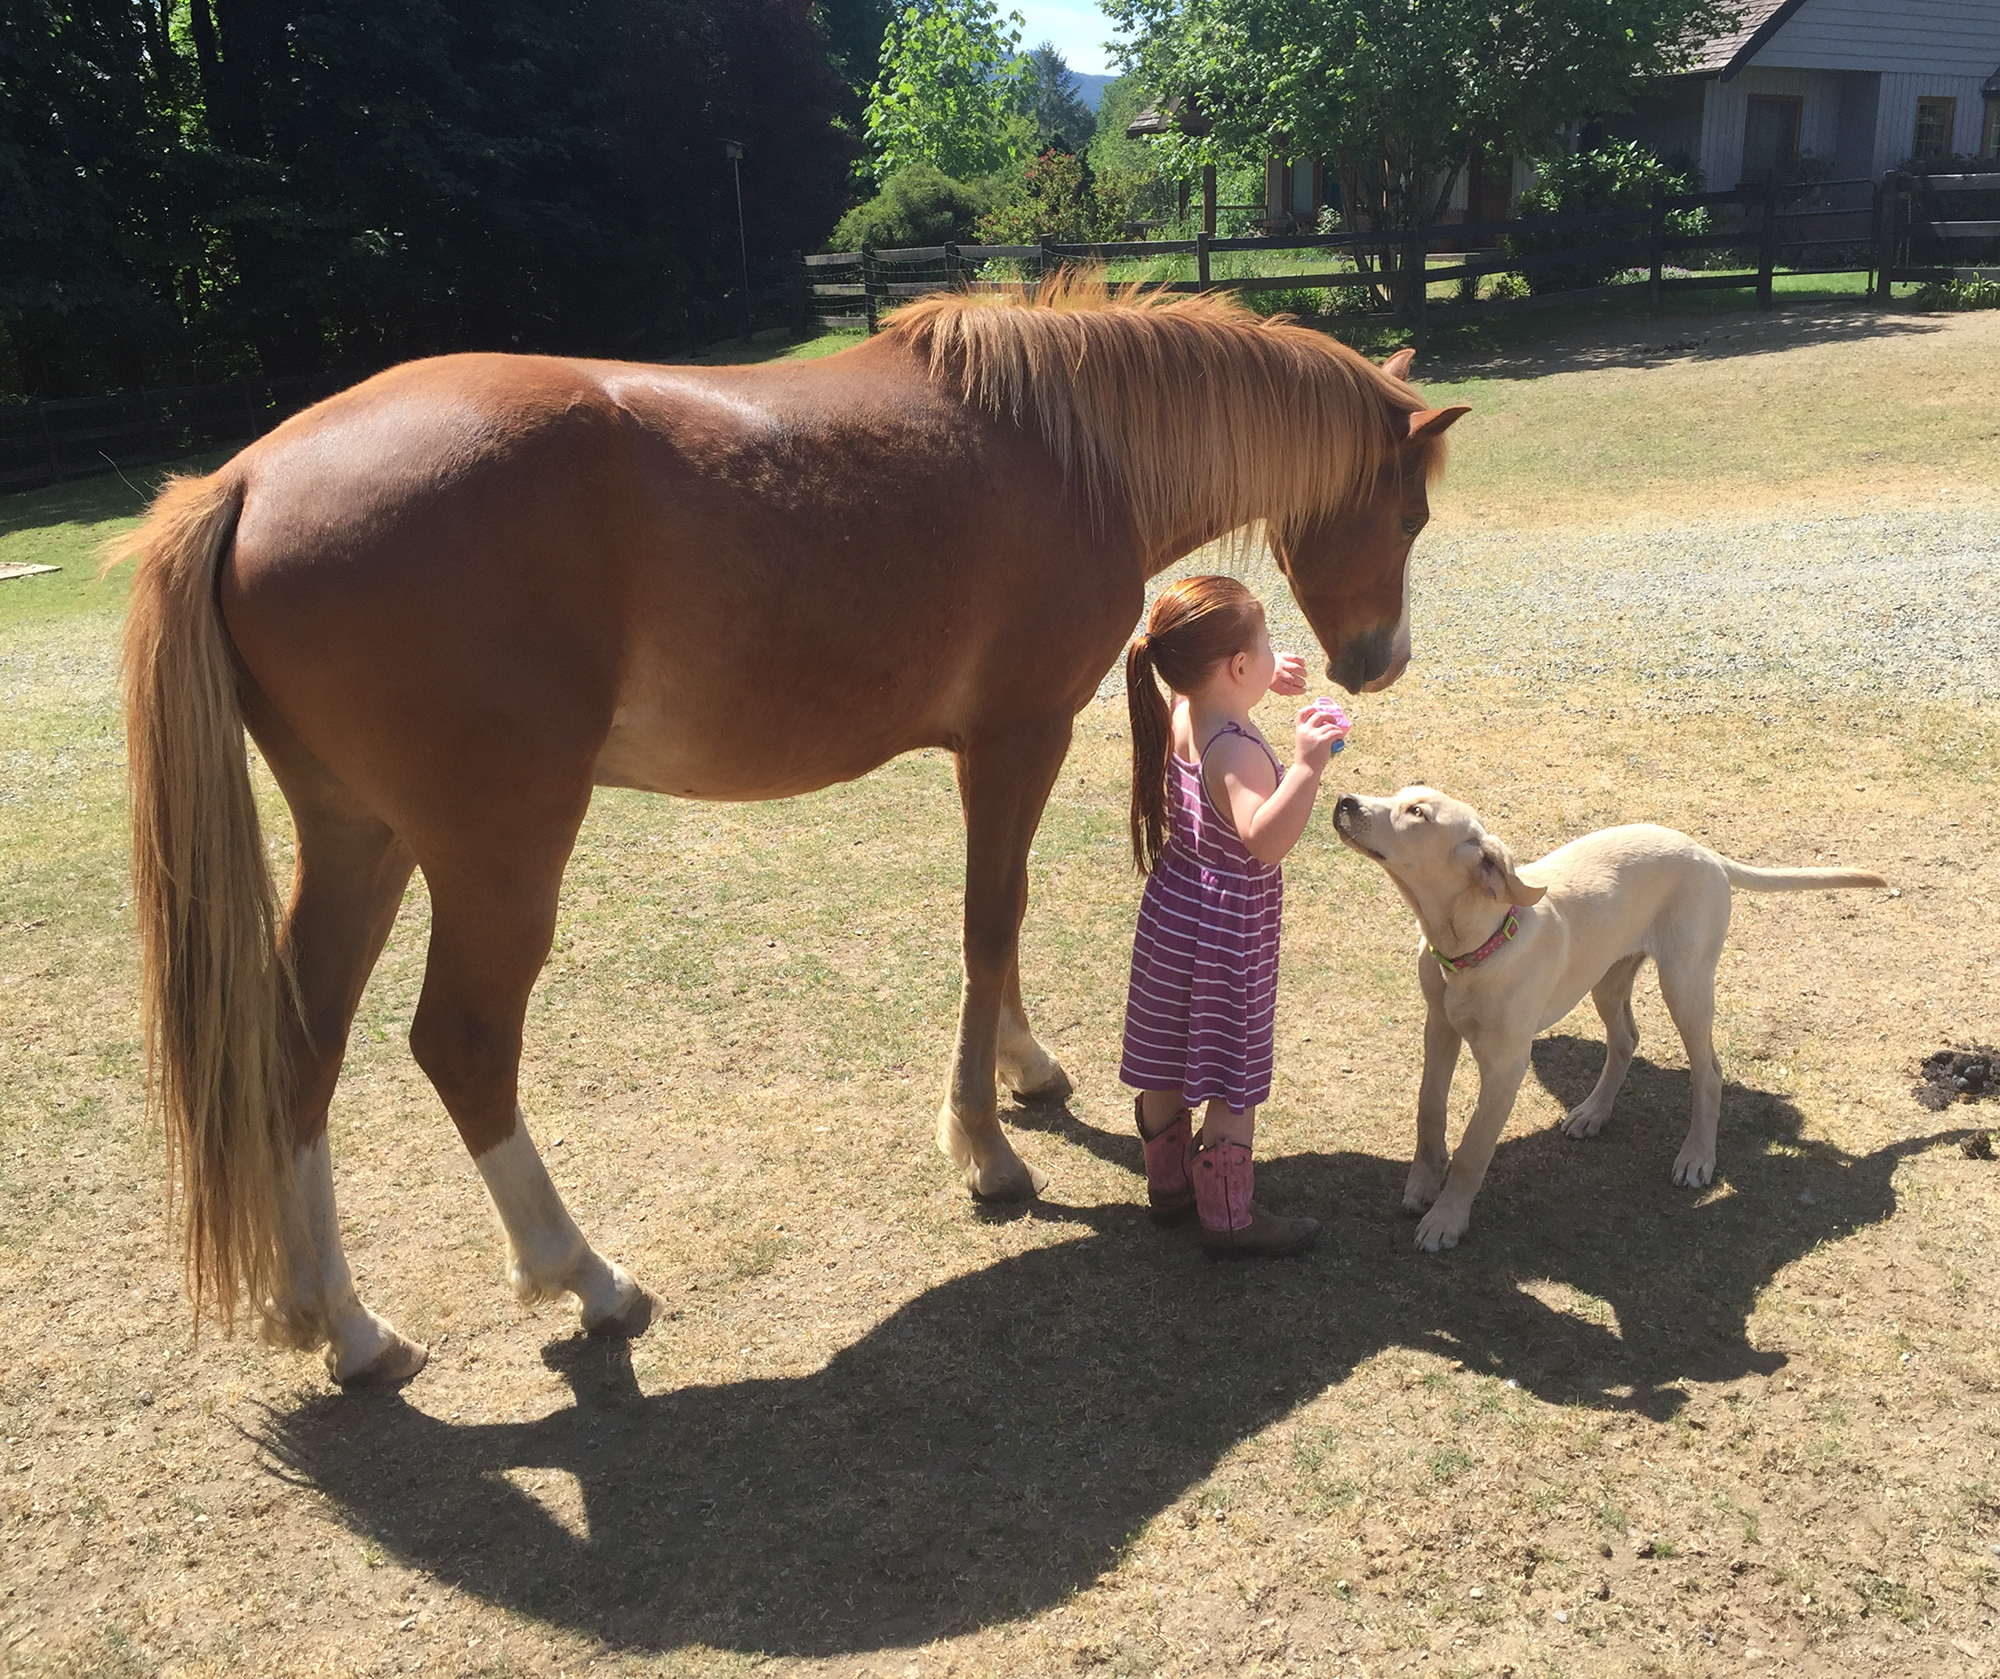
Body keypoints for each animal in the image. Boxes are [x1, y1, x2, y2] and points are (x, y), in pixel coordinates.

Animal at [117, 281, 1464, 1383]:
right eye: (1407, 519)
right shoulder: (1017, 736)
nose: (1377, 661)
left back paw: (344, 1323)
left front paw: (1023, 1071)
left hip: (360, 837)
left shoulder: (993, 750)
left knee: (298, 1047)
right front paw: (984, 1148)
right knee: (463, 1044)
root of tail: (249, 480)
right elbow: (989, 919)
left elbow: (1002, 915)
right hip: (497, 851)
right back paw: (583, 1275)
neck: (1065, 451)